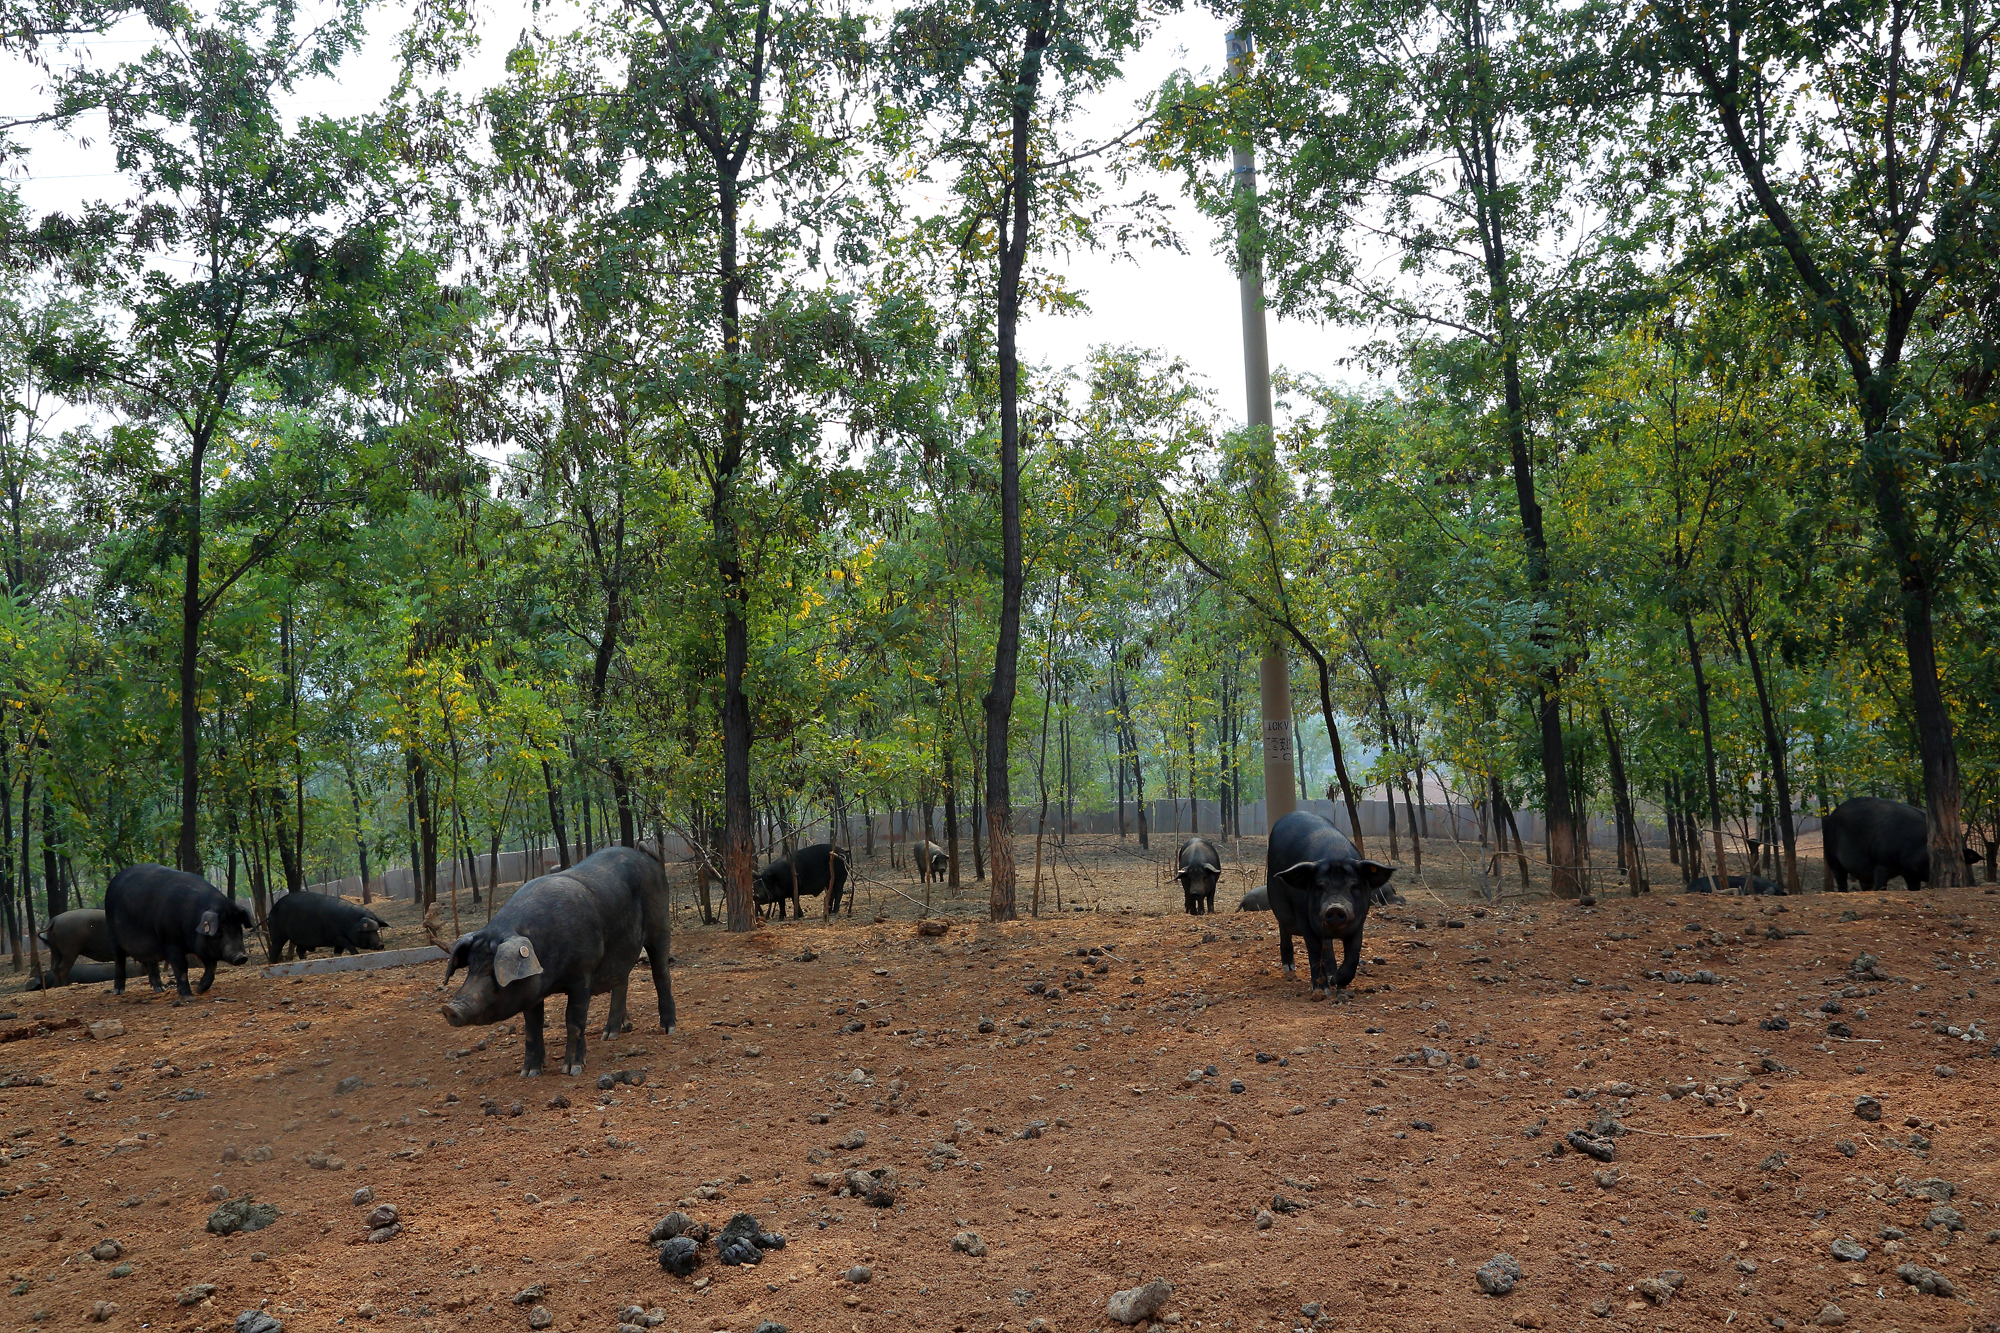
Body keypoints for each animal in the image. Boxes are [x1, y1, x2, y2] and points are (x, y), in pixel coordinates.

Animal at [105, 868, 256, 992]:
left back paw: (160, 989)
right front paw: (189, 996)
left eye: (239, 928)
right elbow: (181, 967)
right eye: (219, 931)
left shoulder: (202, 947)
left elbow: (211, 968)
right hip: (112, 933)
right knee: (119, 960)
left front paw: (199, 990)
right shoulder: (171, 943)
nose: (241, 957)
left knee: (151, 962)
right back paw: (118, 991)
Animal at [438, 844, 672, 1072]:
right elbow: (532, 1026)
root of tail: (646, 857)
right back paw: (610, 1035)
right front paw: (529, 1072)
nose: (449, 1008)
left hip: (660, 921)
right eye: (471, 968)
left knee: (661, 973)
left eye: (492, 971)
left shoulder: (583, 973)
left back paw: (668, 1029)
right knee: (621, 981)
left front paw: (572, 1069)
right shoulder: (531, 989)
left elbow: (574, 1019)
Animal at [1264, 804, 1392, 992]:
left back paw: (1331, 973)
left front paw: (1336, 981)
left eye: (1354, 885)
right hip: (1277, 900)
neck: (1335, 854)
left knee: (1327, 944)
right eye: (1319, 886)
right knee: (1284, 927)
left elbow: (1353, 955)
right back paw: (1289, 968)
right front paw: (1321, 990)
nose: (1336, 907)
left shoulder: (1359, 922)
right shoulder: (1305, 920)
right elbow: (1314, 951)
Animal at [1832, 792, 1984, 888]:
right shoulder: (1881, 863)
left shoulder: (1910, 874)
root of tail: (1832, 814)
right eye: (1933, 854)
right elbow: (1880, 885)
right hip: (1831, 853)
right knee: (1840, 878)